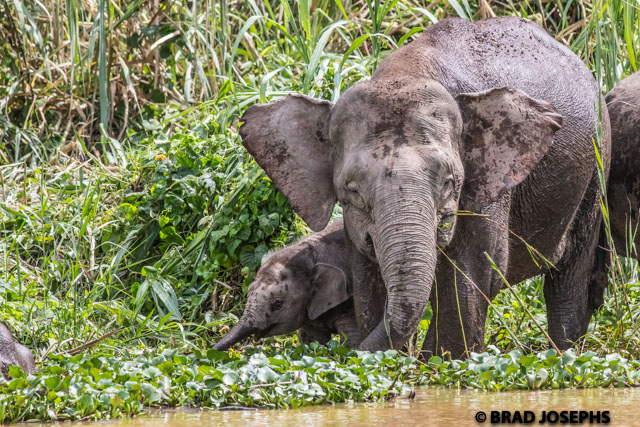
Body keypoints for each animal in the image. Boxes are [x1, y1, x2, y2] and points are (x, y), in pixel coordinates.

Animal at [211, 221, 358, 352]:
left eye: (277, 303)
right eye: (248, 293)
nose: (209, 352)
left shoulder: (349, 301)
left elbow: (350, 342)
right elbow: (313, 342)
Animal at [240, 17, 608, 358]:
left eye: (449, 183)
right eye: (353, 191)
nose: (352, 353)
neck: (408, 71)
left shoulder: (487, 186)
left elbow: (474, 274)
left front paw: (441, 363)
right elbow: (368, 280)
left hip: (596, 165)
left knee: (569, 278)